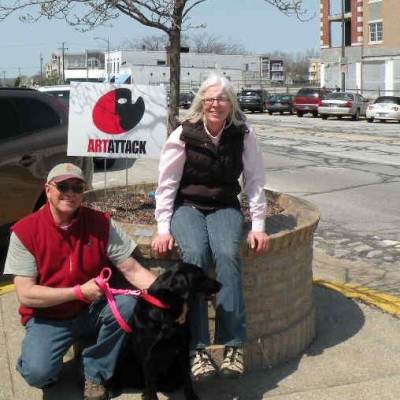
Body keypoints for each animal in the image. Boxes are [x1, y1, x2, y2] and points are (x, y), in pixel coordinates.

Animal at [109, 262, 222, 400]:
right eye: (200, 276)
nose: (220, 285)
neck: (167, 308)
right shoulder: (147, 354)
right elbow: (151, 385)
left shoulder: (183, 348)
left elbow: (187, 377)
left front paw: (191, 396)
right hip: (124, 355)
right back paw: (115, 388)